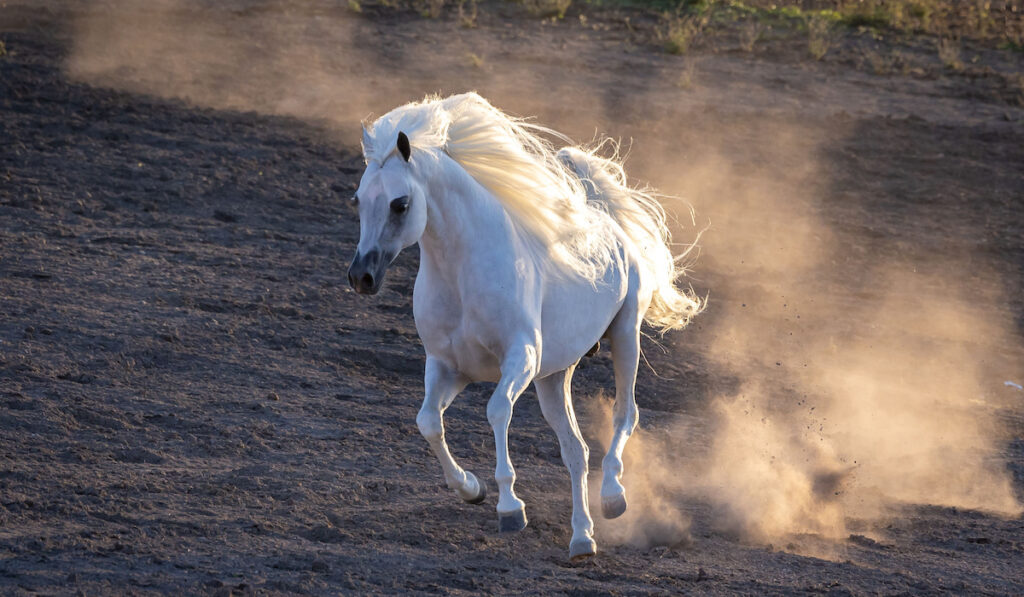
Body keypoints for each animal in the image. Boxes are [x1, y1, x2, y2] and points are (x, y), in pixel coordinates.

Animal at [348, 93, 700, 561]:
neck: (461, 273)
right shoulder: (446, 366)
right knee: (575, 451)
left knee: (626, 414)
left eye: (400, 203)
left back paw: (612, 498)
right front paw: (471, 489)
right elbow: (428, 421)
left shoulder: (521, 359)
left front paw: (510, 508)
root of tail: (610, 223)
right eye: (357, 200)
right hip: (555, 376)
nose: (361, 277)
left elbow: (496, 410)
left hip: (624, 338)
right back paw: (581, 538)